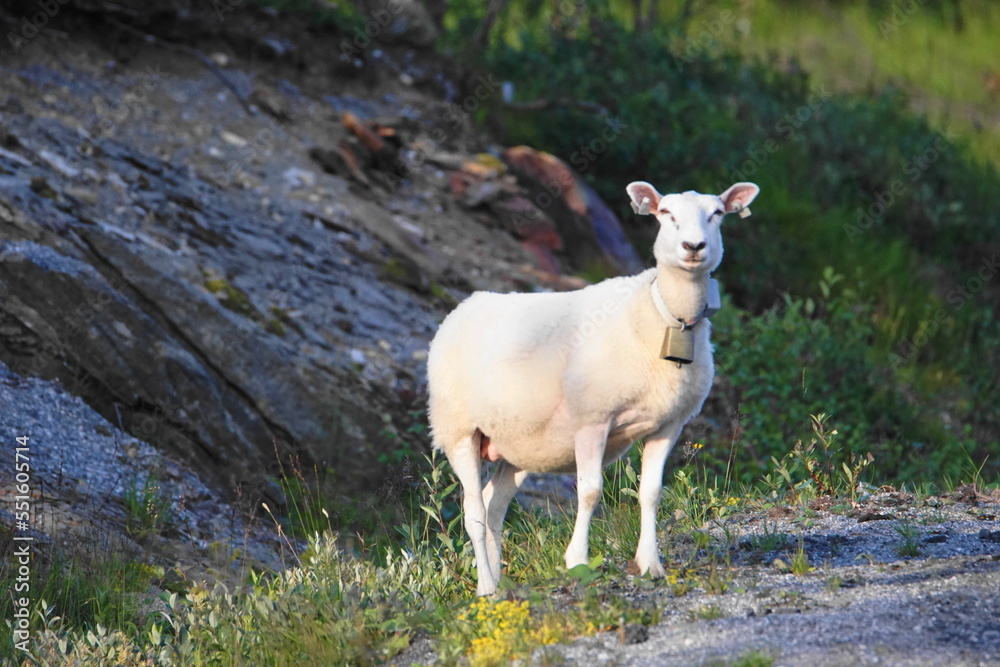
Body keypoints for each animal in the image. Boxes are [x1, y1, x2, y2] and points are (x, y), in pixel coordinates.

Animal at [427, 180, 760, 595]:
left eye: (717, 214)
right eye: (665, 213)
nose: (693, 247)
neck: (666, 315)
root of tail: (466, 304)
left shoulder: (668, 424)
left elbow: (651, 493)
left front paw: (650, 564)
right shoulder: (592, 418)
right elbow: (589, 491)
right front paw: (578, 561)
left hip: (516, 446)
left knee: (492, 506)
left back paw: (500, 582)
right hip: (458, 428)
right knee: (473, 510)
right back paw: (487, 588)